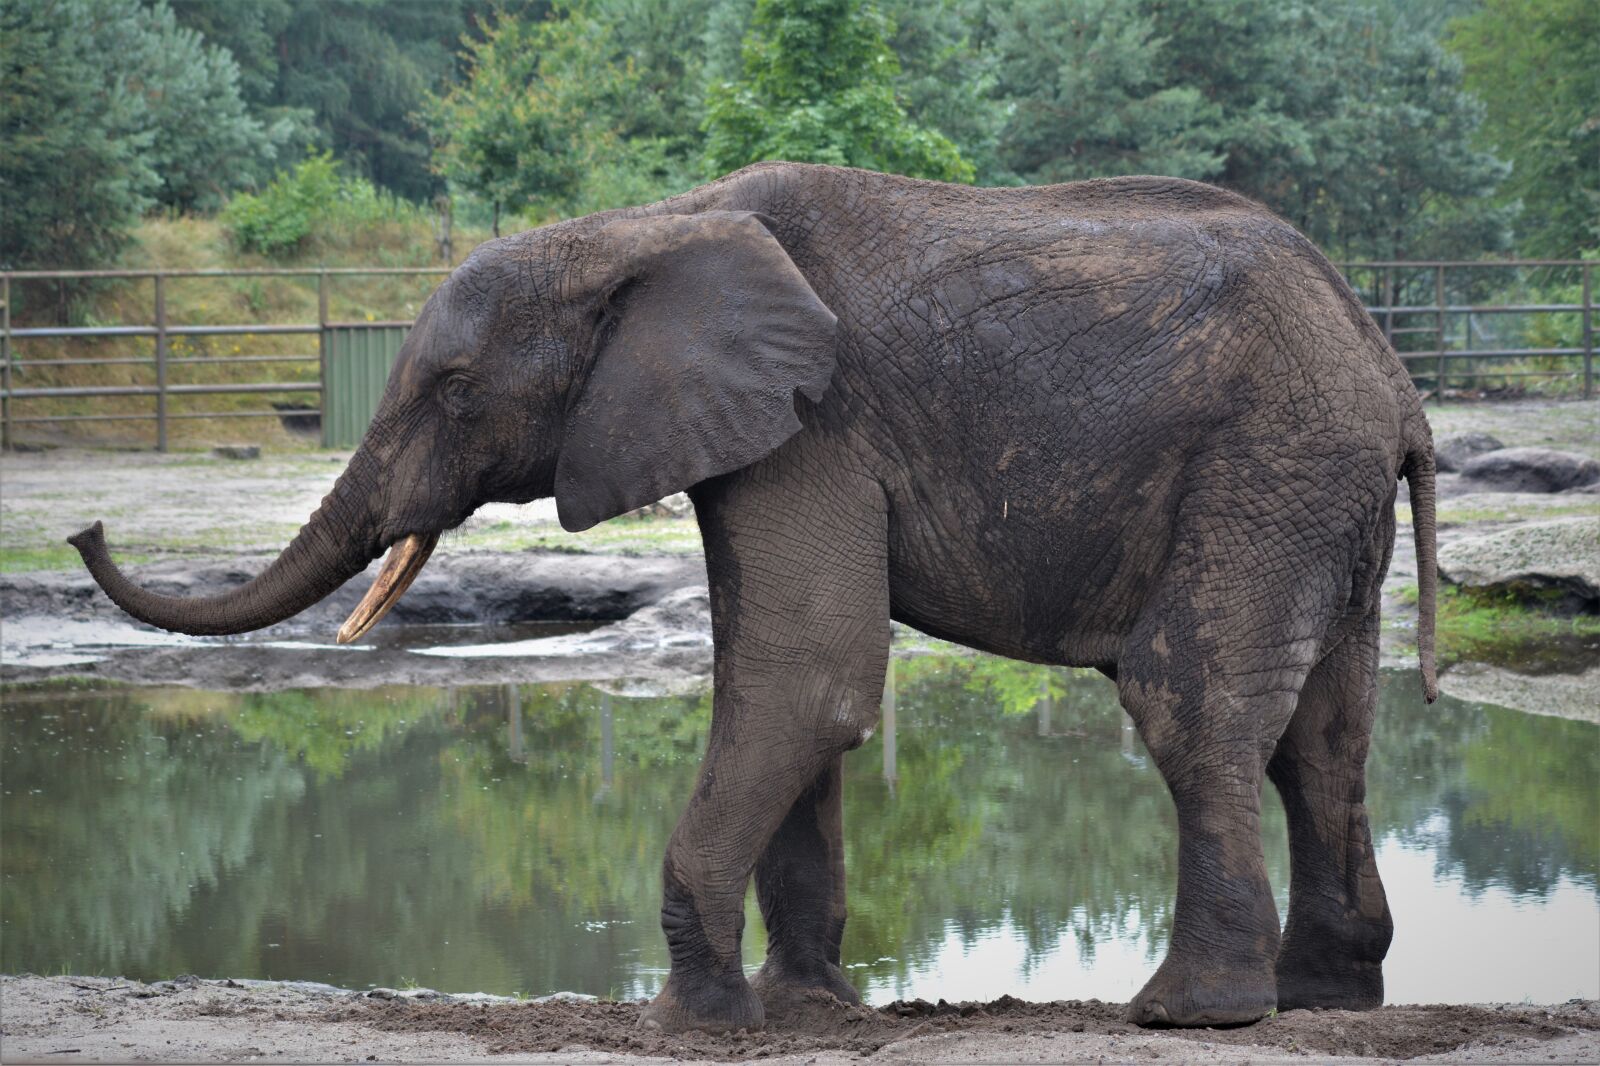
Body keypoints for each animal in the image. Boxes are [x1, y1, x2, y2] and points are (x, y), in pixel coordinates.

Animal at [71, 161, 1439, 1032]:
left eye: (455, 390)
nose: (84, 523)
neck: (640, 230)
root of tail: (1394, 374)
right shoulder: (761, 429)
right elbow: (791, 692)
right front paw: (805, 1010)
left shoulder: (815, 425)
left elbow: (804, 679)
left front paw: (687, 1019)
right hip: (1312, 489)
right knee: (1323, 735)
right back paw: (1323, 997)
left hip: (1265, 463)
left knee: (1188, 702)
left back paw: (1188, 1013)